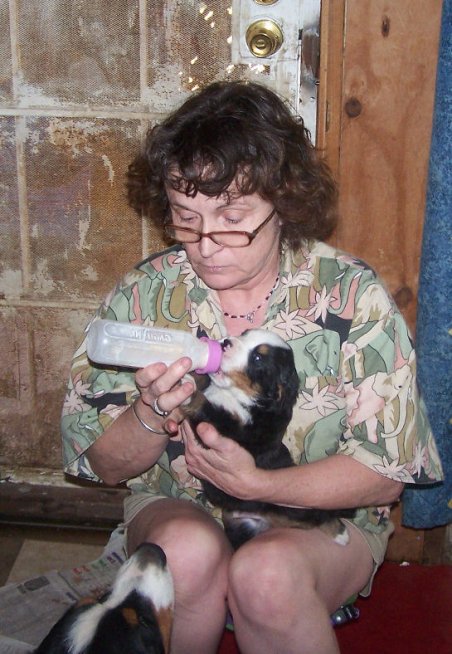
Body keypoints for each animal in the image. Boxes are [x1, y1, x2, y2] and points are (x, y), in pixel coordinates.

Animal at [183, 329, 355, 549]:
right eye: (244, 334)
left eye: (257, 358)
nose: (225, 343)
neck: (237, 396)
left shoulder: (240, 435)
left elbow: (211, 410)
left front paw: (189, 392)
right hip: (239, 525)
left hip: (293, 504)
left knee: (317, 515)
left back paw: (340, 533)